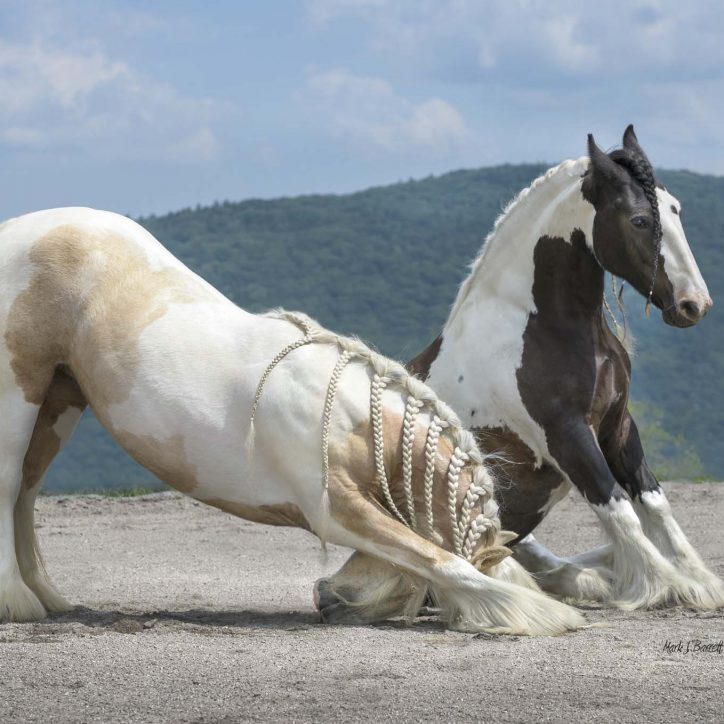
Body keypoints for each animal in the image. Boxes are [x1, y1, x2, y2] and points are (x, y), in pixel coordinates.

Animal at [0, 208, 584, 632]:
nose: (323, 597)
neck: (350, 417)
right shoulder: (336, 511)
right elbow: (434, 556)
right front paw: (541, 615)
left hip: (59, 402)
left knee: (26, 493)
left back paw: (48, 598)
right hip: (19, 394)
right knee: (10, 488)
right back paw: (19, 603)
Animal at [320, 126, 724, 612]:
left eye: (675, 208)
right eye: (640, 220)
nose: (693, 304)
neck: (539, 326)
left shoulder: (619, 427)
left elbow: (653, 503)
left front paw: (698, 582)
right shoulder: (566, 435)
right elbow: (617, 505)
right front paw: (661, 584)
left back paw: (589, 579)